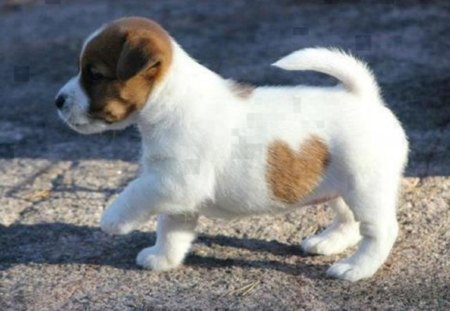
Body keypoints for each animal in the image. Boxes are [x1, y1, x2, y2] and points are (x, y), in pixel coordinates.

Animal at [56, 16, 408, 282]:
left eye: (95, 74)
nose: (58, 101)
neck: (170, 101)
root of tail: (365, 96)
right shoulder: (177, 195)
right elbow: (171, 230)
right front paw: (162, 258)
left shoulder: (171, 182)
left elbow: (134, 193)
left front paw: (112, 219)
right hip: (340, 187)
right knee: (349, 221)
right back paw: (327, 241)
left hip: (365, 188)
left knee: (381, 231)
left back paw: (355, 268)